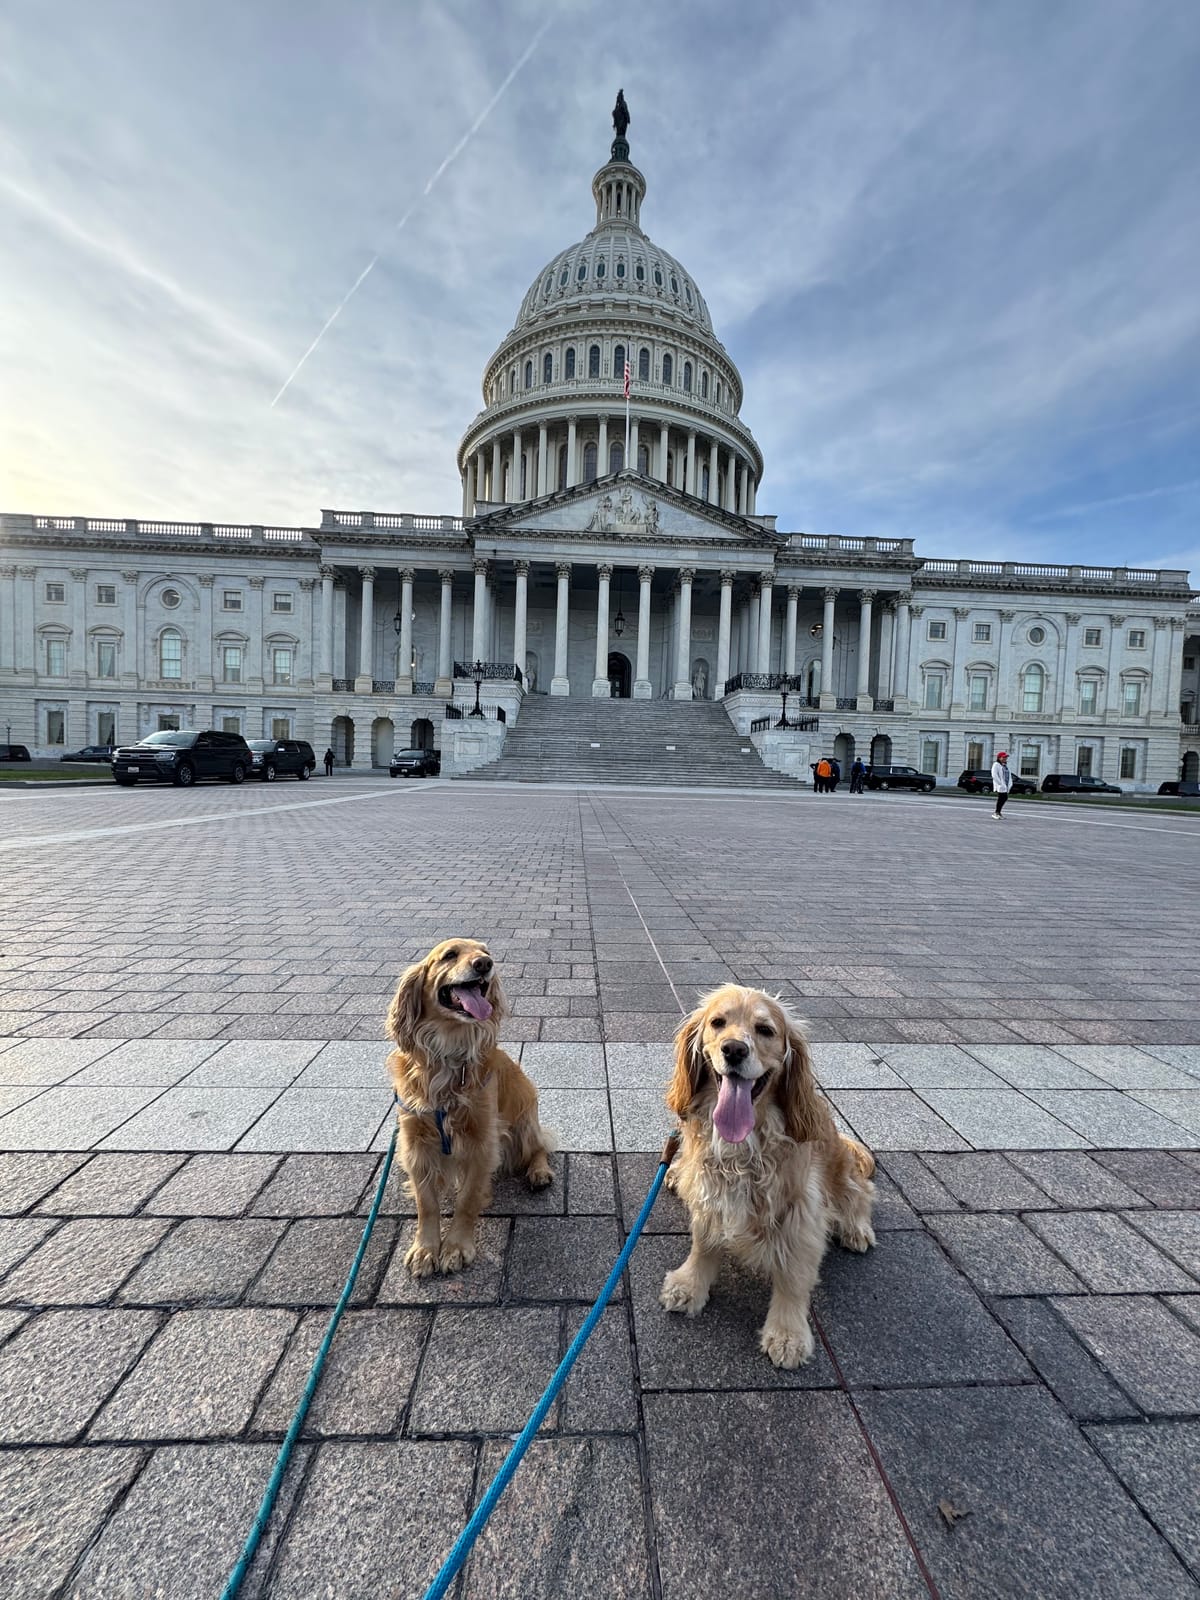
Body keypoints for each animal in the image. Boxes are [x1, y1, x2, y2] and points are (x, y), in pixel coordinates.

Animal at [385, 937, 554, 1277]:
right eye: (449, 955)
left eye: (486, 953)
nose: (485, 965)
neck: (449, 1053)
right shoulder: (415, 1143)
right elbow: (427, 1203)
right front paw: (425, 1249)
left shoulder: (483, 1141)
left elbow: (467, 1200)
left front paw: (456, 1247)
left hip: (524, 1121)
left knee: (539, 1147)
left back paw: (539, 1172)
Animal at [660, 983, 876, 1368]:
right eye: (718, 1023)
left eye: (765, 1030)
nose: (734, 1049)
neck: (743, 1146)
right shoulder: (710, 1193)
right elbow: (703, 1243)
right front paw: (689, 1285)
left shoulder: (802, 1210)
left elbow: (794, 1276)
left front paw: (787, 1334)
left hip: (843, 1174)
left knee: (861, 1194)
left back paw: (856, 1229)